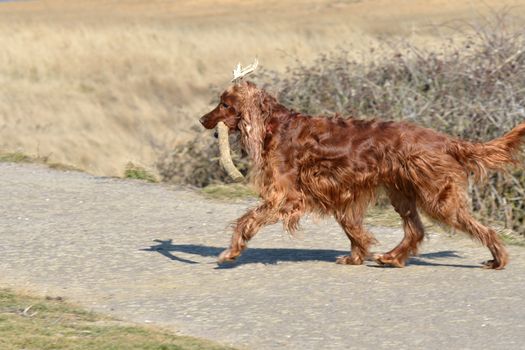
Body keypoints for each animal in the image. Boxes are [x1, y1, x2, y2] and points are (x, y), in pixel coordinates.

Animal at [199, 81, 520, 268]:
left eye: (225, 104)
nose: (202, 120)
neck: (273, 125)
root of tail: (443, 139)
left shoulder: (286, 196)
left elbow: (246, 220)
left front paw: (231, 252)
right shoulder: (341, 192)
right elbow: (353, 228)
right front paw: (356, 256)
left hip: (438, 198)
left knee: (481, 228)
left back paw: (498, 259)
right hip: (402, 193)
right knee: (415, 230)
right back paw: (392, 257)